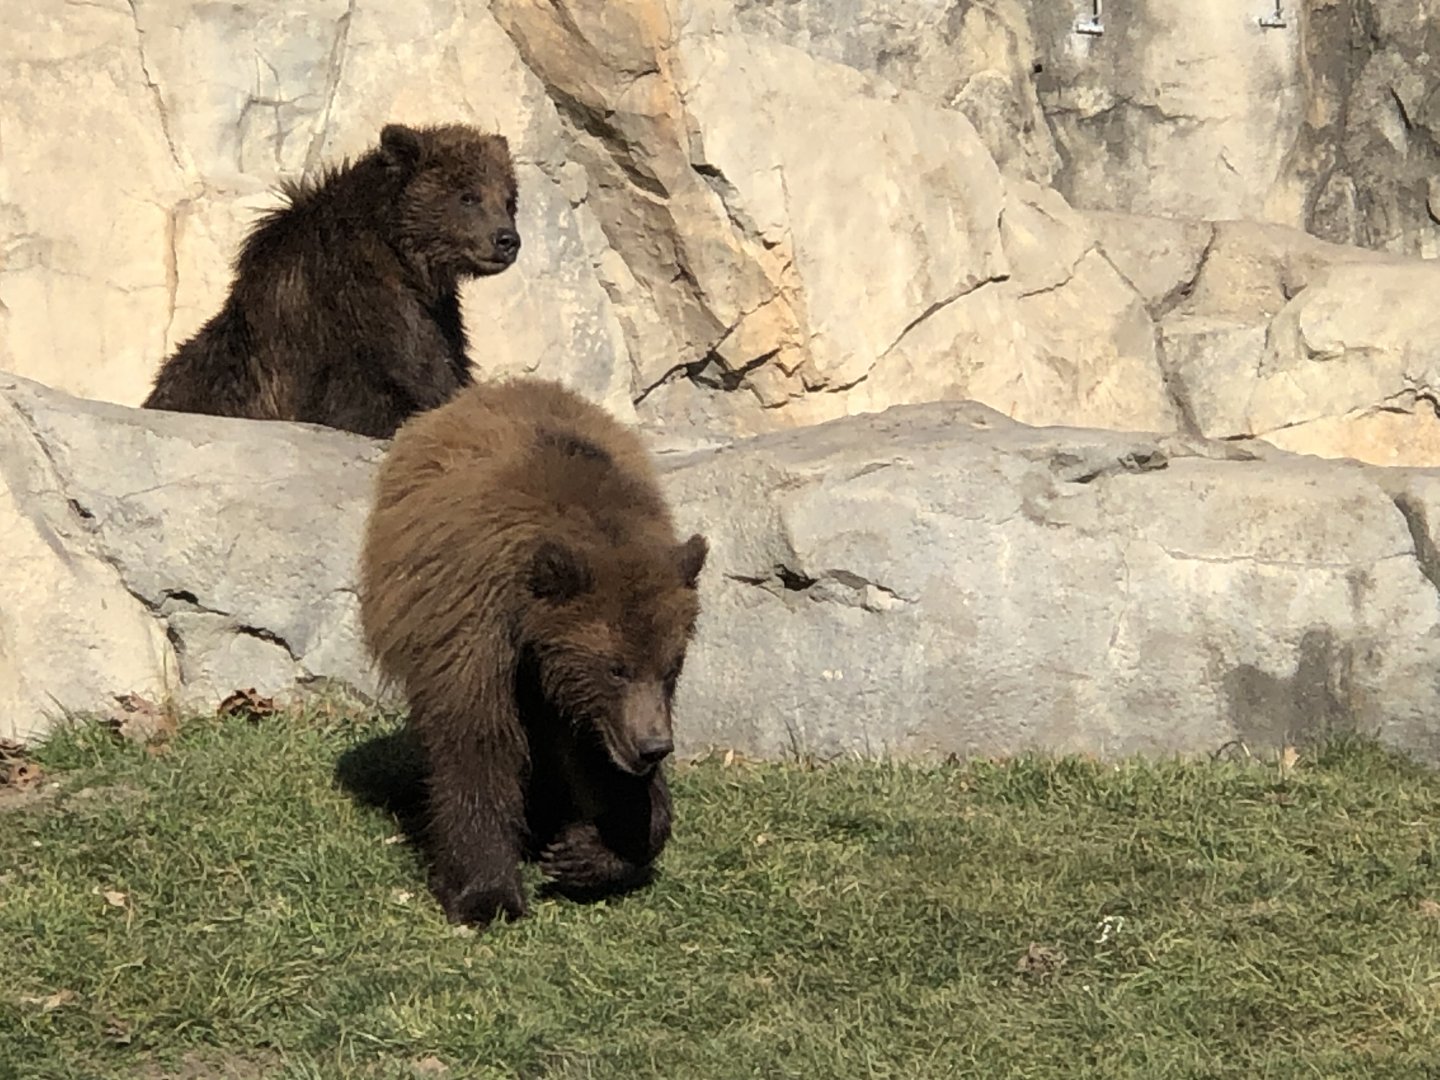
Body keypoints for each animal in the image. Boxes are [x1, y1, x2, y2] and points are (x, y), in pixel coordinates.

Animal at [142, 121, 520, 438]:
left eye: (508, 200)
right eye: (468, 196)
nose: (507, 240)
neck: (404, 257)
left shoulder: (438, 311)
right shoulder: (355, 302)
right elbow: (405, 376)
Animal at [358, 377, 709, 927]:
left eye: (672, 667)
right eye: (616, 668)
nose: (654, 746)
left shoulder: (588, 702)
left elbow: (601, 762)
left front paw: (589, 850)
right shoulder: (476, 629)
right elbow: (478, 744)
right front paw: (486, 892)